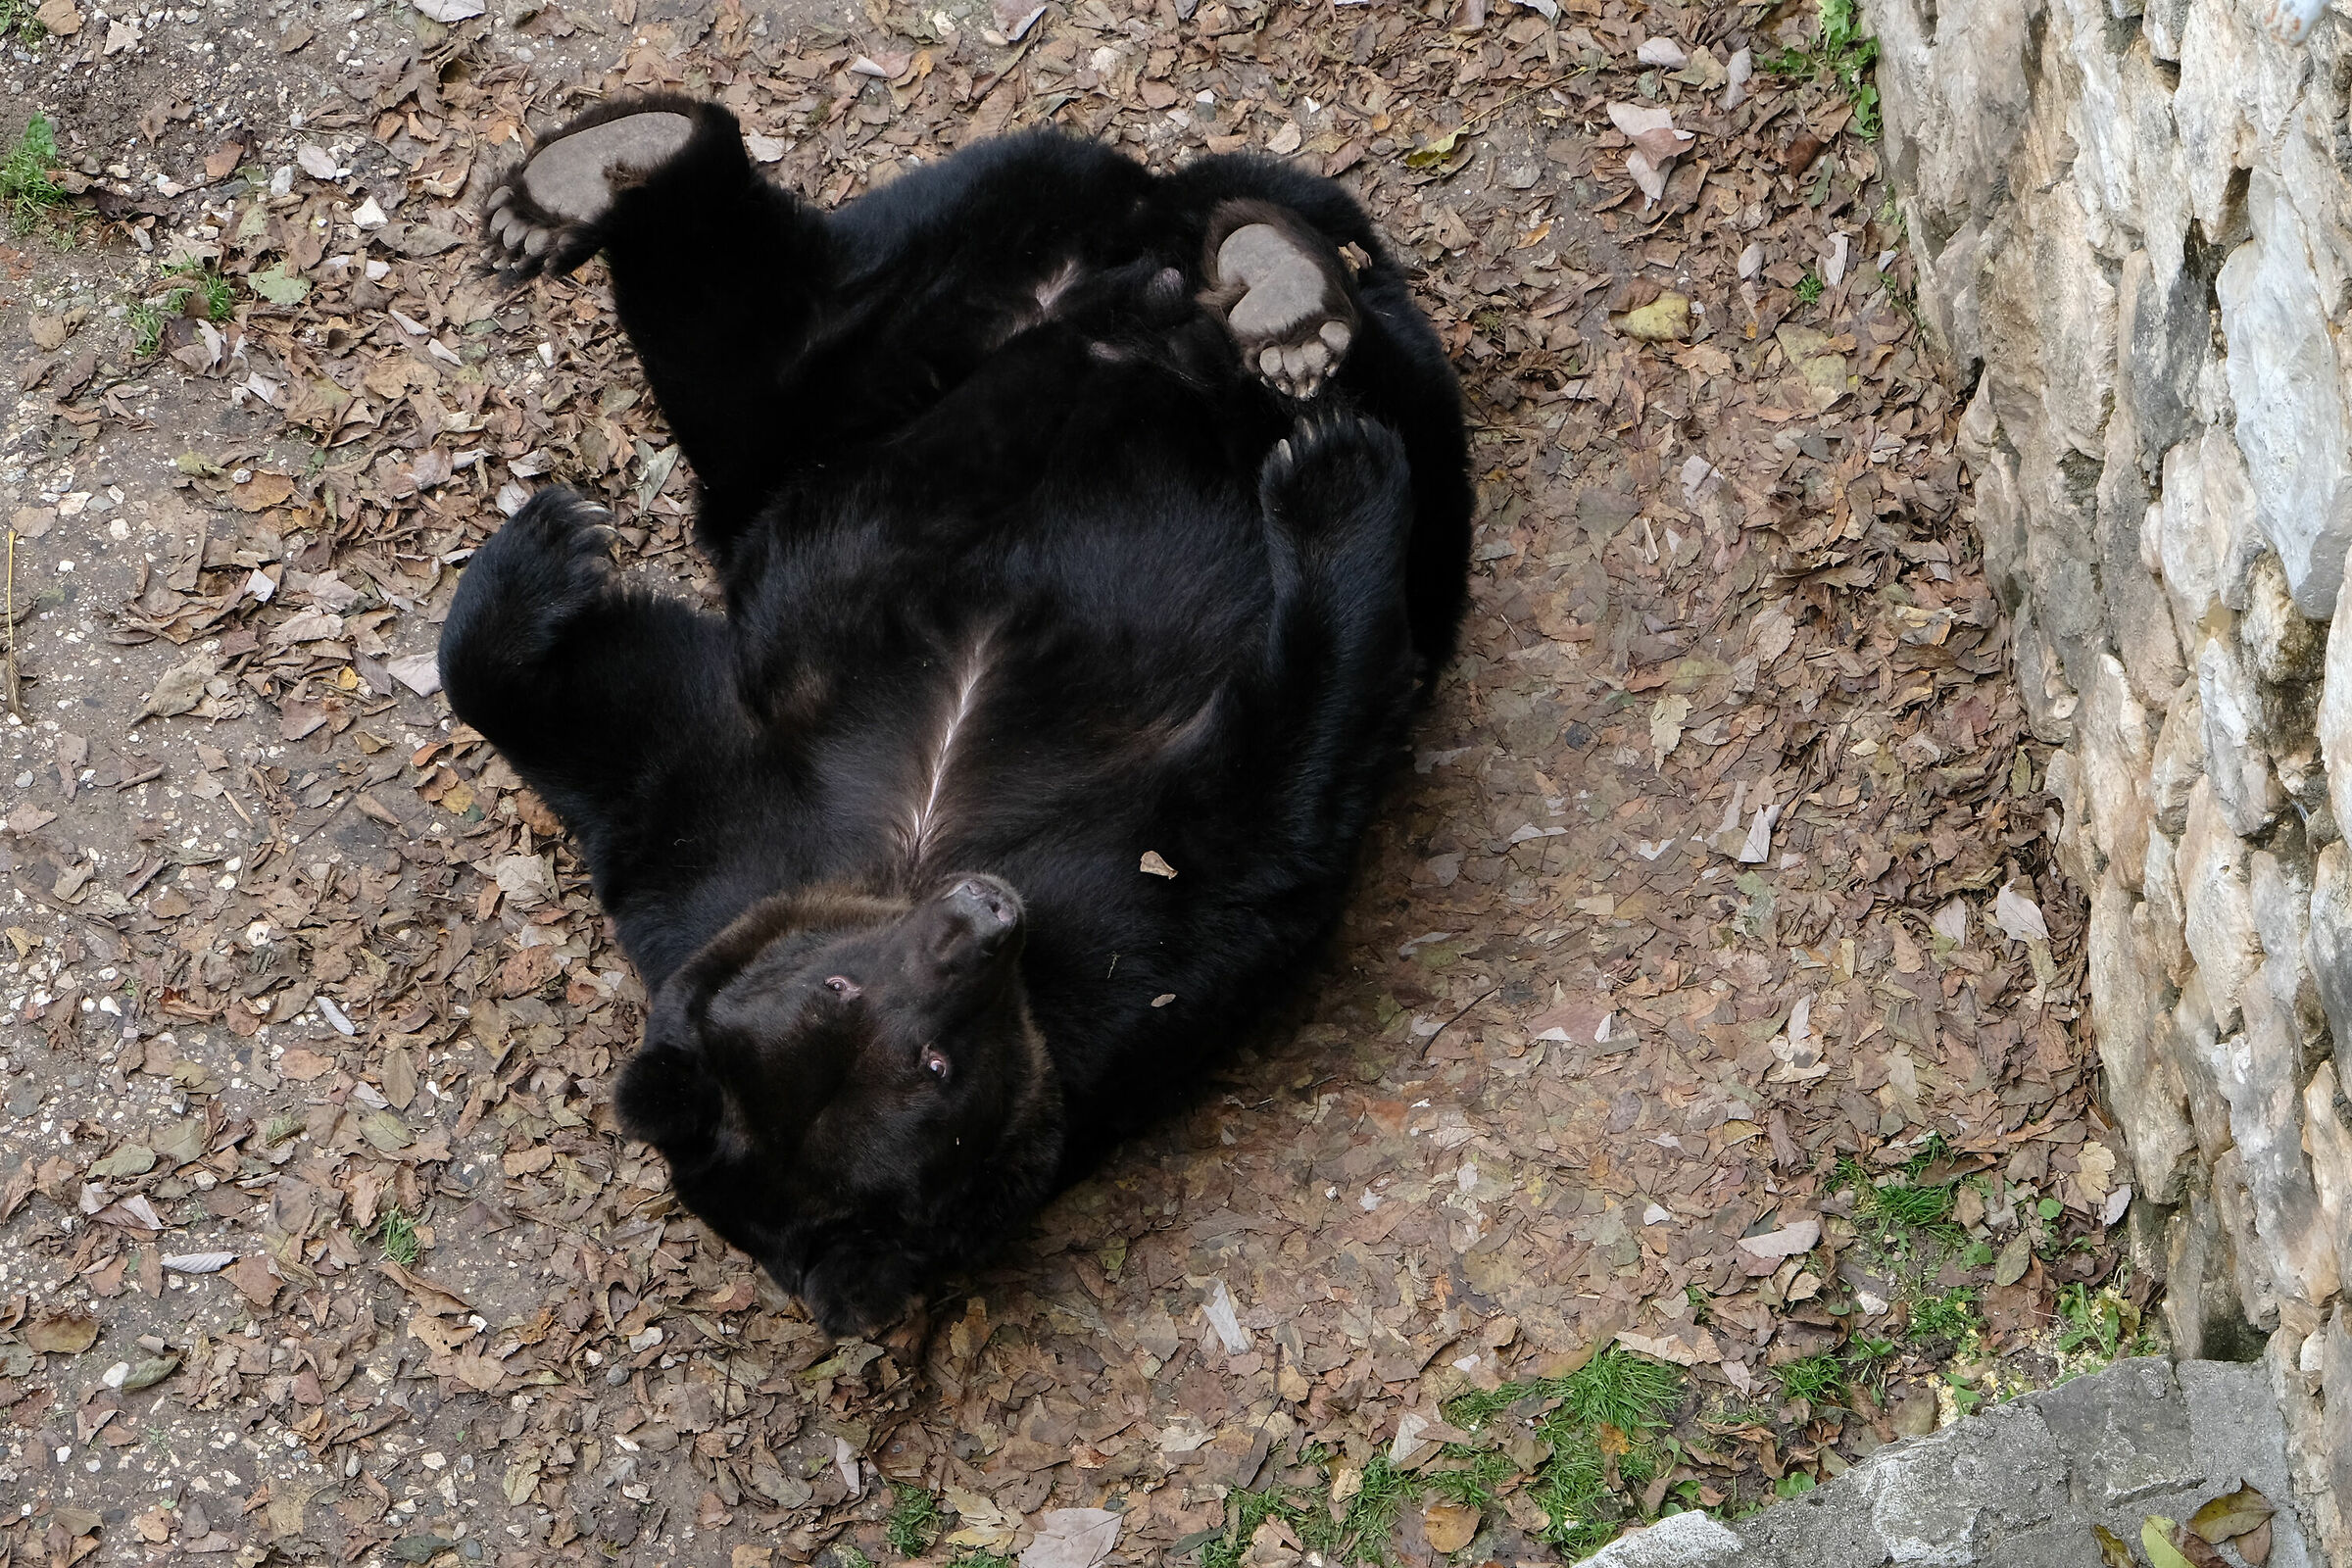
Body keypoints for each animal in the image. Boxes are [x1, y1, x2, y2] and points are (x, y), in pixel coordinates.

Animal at [438, 94, 1472, 1335]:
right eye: (931, 1065)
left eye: (834, 982)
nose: (977, 919)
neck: (908, 861)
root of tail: (1130, 245)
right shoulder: (1135, 947)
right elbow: (1273, 787)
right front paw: (1332, 478)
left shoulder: (729, 823)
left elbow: (595, 713)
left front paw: (550, 539)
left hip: (895, 346)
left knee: (770, 333)